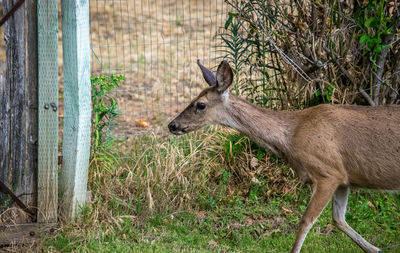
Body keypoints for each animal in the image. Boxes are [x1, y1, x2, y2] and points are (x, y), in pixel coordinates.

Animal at [168, 59, 400, 253]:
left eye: (200, 105)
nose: (172, 125)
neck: (292, 135)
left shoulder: (327, 172)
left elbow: (306, 221)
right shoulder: (344, 177)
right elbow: (339, 220)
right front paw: (376, 250)